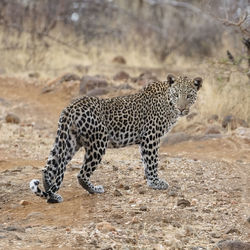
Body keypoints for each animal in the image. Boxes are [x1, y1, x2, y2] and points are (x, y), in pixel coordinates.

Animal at [29, 73, 202, 202]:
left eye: (189, 96)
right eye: (176, 95)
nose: (182, 109)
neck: (168, 102)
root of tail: (71, 107)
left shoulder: (146, 141)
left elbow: (146, 163)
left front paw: (151, 181)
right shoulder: (151, 138)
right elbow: (152, 162)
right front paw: (156, 183)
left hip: (69, 141)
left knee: (49, 167)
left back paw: (52, 194)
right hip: (98, 142)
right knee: (81, 174)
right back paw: (94, 189)